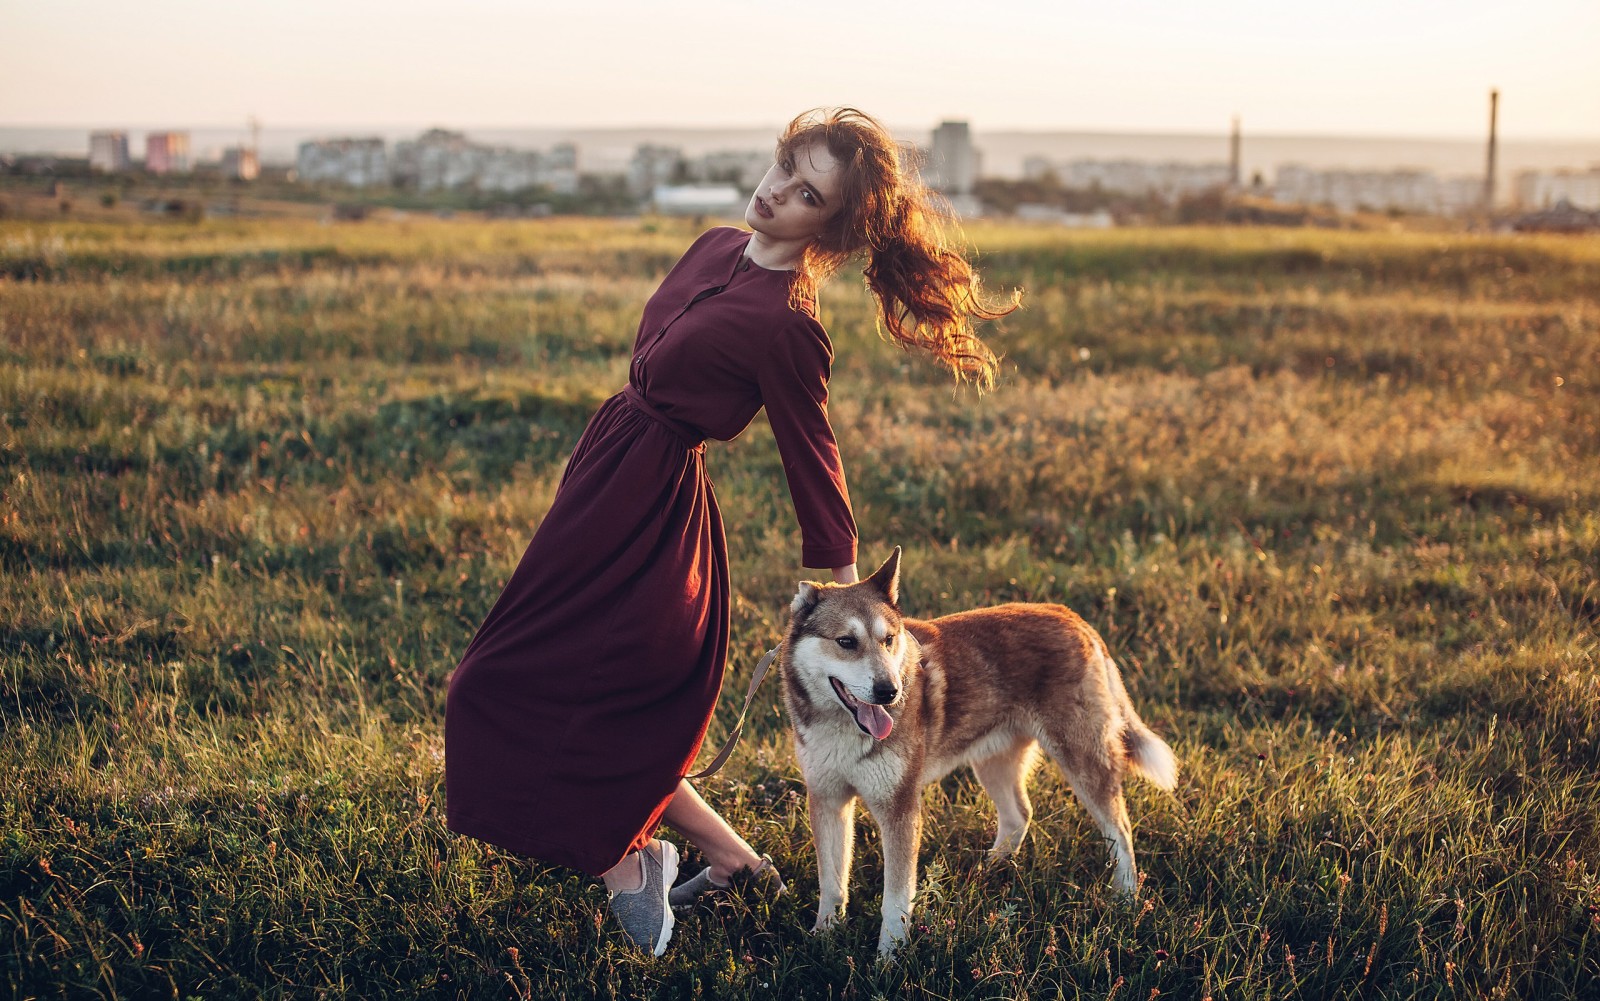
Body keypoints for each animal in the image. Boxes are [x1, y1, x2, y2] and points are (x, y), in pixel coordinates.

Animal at [780, 550, 1184, 953]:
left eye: (889, 640)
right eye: (846, 641)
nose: (889, 691)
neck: (842, 729)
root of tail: (1071, 616)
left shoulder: (900, 807)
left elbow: (894, 899)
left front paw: (889, 956)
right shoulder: (827, 798)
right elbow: (831, 882)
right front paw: (824, 937)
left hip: (1082, 758)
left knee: (1120, 829)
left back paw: (1125, 897)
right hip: (992, 761)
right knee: (1020, 814)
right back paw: (989, 867)